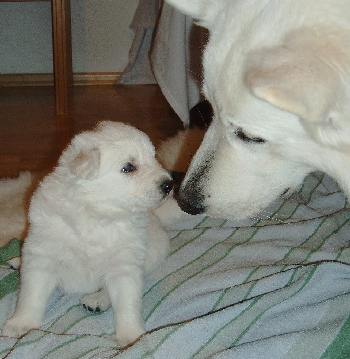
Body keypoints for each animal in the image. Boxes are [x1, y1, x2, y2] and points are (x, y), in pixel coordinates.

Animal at [2, 122, 173, 348]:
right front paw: (21, 324)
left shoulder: (125, 265)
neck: (97, 214)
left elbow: (127, 303)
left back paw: (96, 299)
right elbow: (32, 295)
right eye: (129, 167)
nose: (169, 184)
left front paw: (132, 337)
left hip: (154, 252)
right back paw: (17, 261)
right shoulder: (42, 255)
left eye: (153, 158)